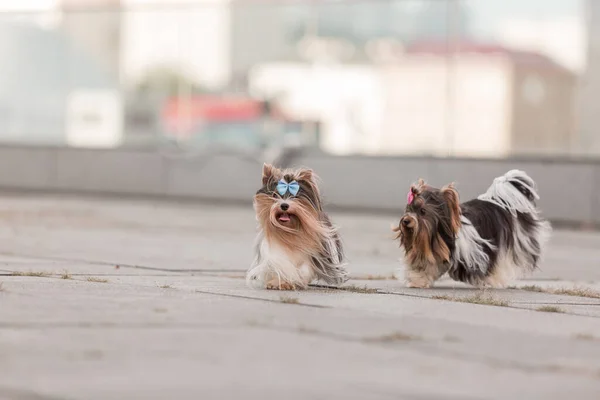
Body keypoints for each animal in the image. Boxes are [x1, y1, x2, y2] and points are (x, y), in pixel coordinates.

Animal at [394, 170, 552, 288]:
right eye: (408, 209)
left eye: (422, 211)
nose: (406, 221)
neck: (437, 237)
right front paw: (417, 280)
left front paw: (487, 281)